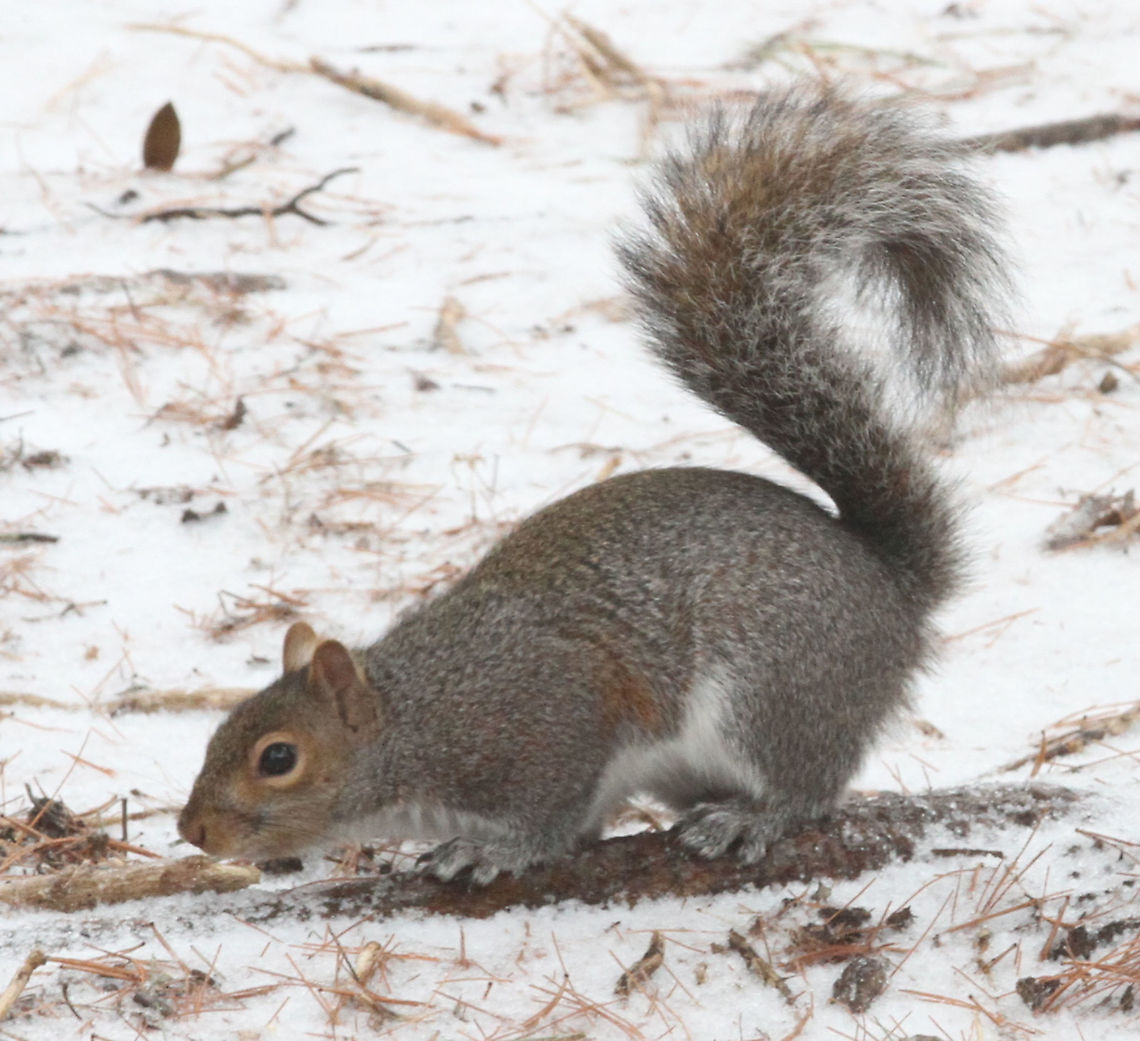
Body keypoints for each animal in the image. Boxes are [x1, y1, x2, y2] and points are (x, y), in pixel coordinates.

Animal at [178, 83, 1009, 884]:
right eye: (216, 732)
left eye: (278, 756)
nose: (192, 830)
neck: (416, 720)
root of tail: (892, 587)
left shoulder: (552, 720)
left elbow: (553, 808)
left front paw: (497, 850)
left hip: (773, 688)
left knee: (807, 788)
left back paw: (751, 817)